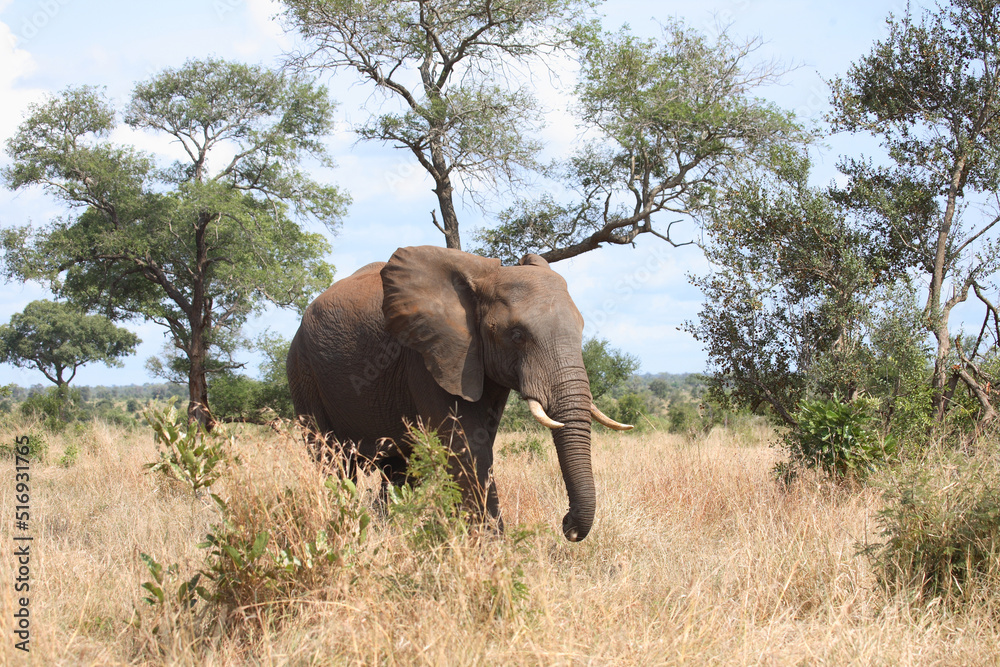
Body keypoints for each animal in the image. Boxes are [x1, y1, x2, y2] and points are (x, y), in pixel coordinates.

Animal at [286, 245, 631, 541]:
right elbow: (468, 446)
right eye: (517, 335)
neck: (484, 280)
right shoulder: (428, 356)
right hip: (302, 369)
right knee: (331, 460)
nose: (567, 524)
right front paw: (492, 549)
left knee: (396, 469)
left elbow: (478, 442)